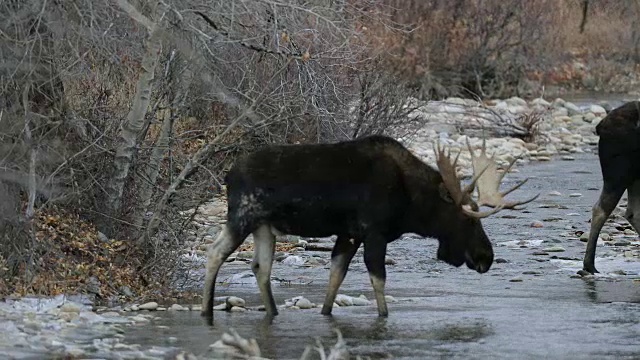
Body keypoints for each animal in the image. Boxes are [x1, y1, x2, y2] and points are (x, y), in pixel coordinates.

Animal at [201, 134, 540, 320]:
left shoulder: (349, 233)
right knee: (215, 252)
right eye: (467, 218)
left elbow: (336, 277)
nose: (486, 257)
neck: (412, 204)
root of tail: (227, 176)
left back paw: (271, 311)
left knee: (261, 267)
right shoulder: (374, 232)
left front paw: (326, 313)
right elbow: (378, 279)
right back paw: (206, 309)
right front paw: (383, 316)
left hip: (264, 227)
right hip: (243, 214)